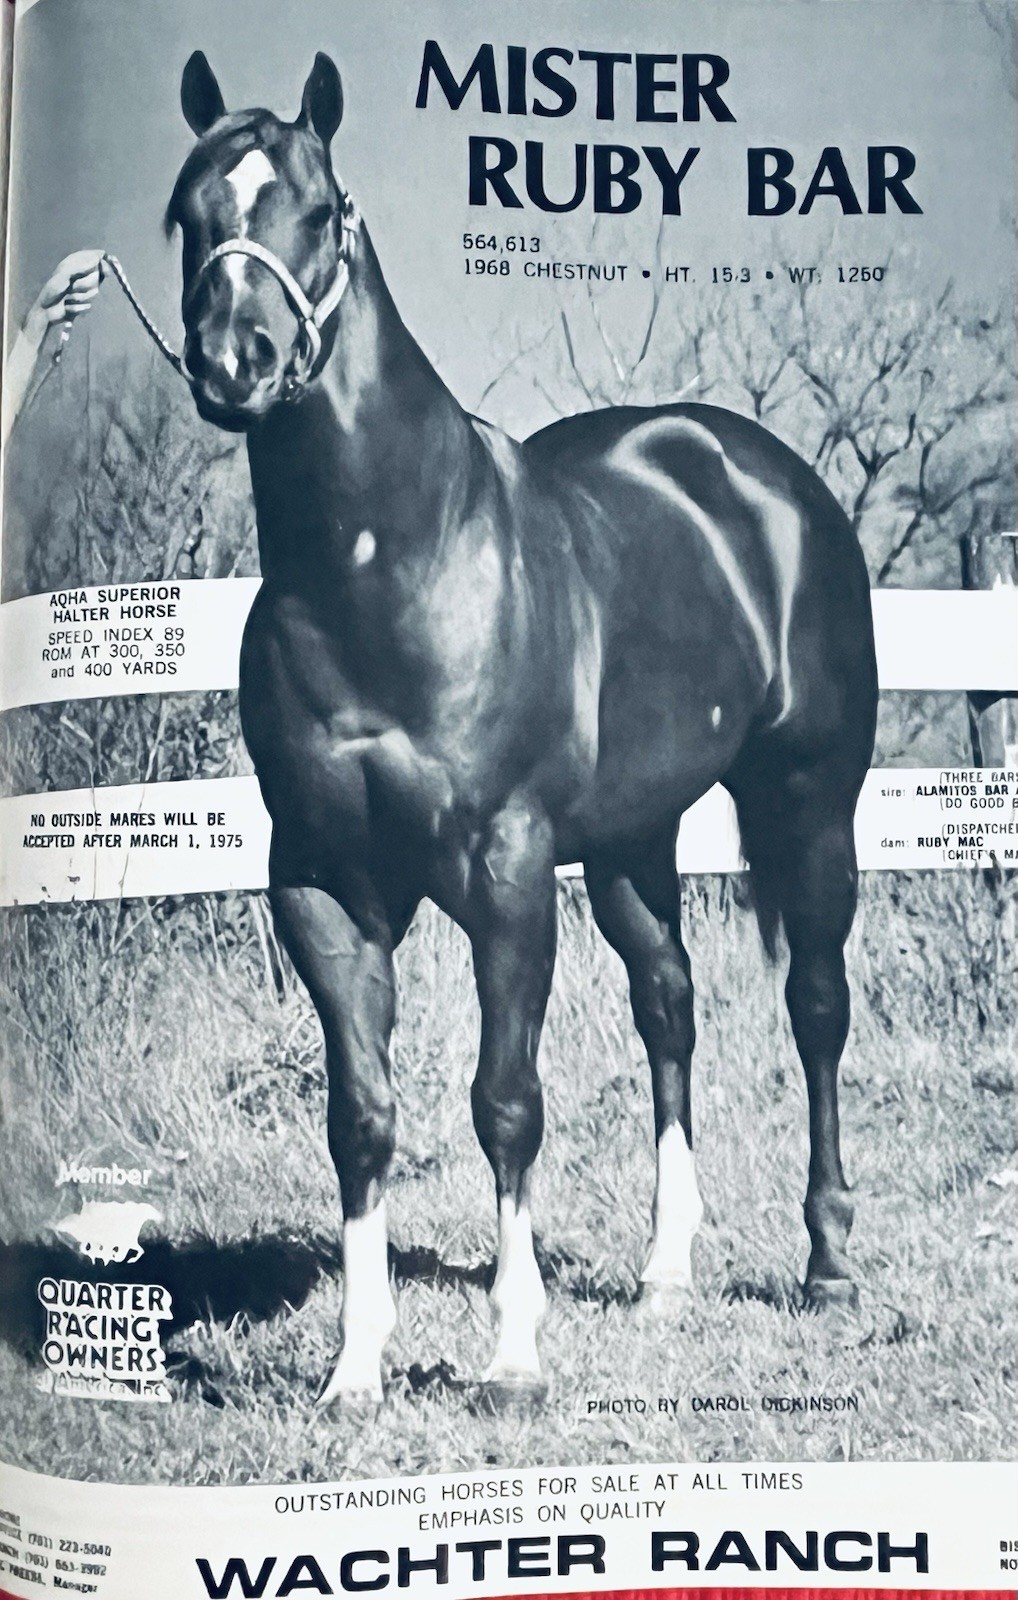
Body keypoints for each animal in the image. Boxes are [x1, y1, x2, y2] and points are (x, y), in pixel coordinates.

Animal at [167, 50, 878, 1410]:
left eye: (320, 208)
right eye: (187, 212)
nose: (237, 359)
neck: (394, 567)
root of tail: (762, 477)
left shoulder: (505, 873)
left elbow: (505, 1101)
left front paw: (509, 1351)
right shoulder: (322, 886)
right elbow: (360, 1114)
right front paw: (355, 1367)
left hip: (810, 800)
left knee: (815, 1006)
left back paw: (827, 1262)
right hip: (631, 842)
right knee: (670, 1006)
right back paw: (664, 1273)